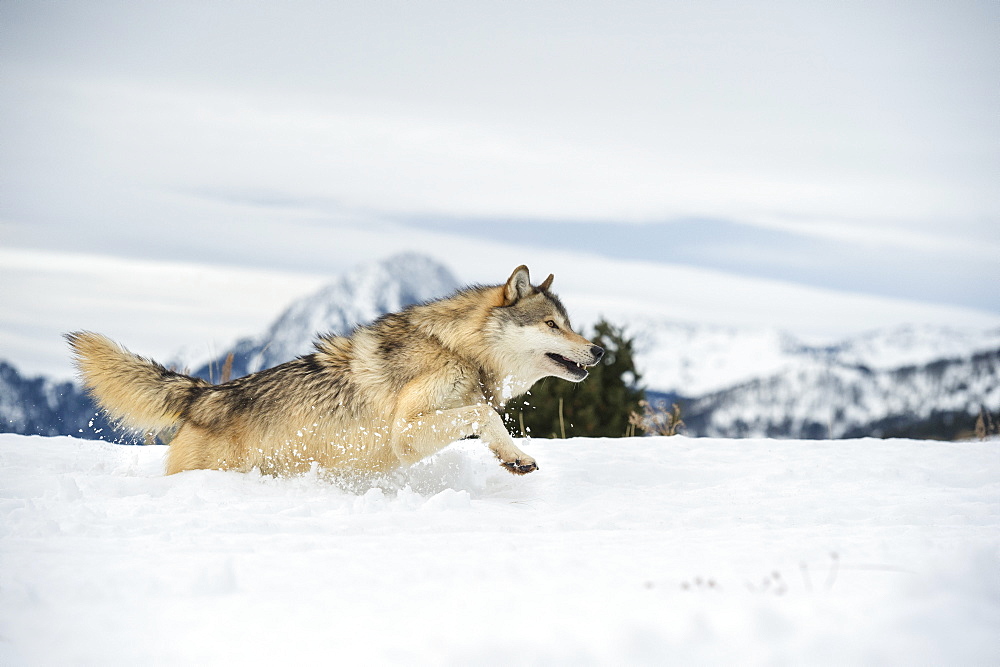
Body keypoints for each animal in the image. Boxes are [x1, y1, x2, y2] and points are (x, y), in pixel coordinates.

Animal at [70, 266, 604, 480]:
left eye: (569, 323)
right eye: (552, 325)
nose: (599, 350)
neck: (456, 349)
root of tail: (205, 394)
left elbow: (486, 420)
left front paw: (513, 458)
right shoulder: (405, 433)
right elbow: (483, 415)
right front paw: (516, 455)